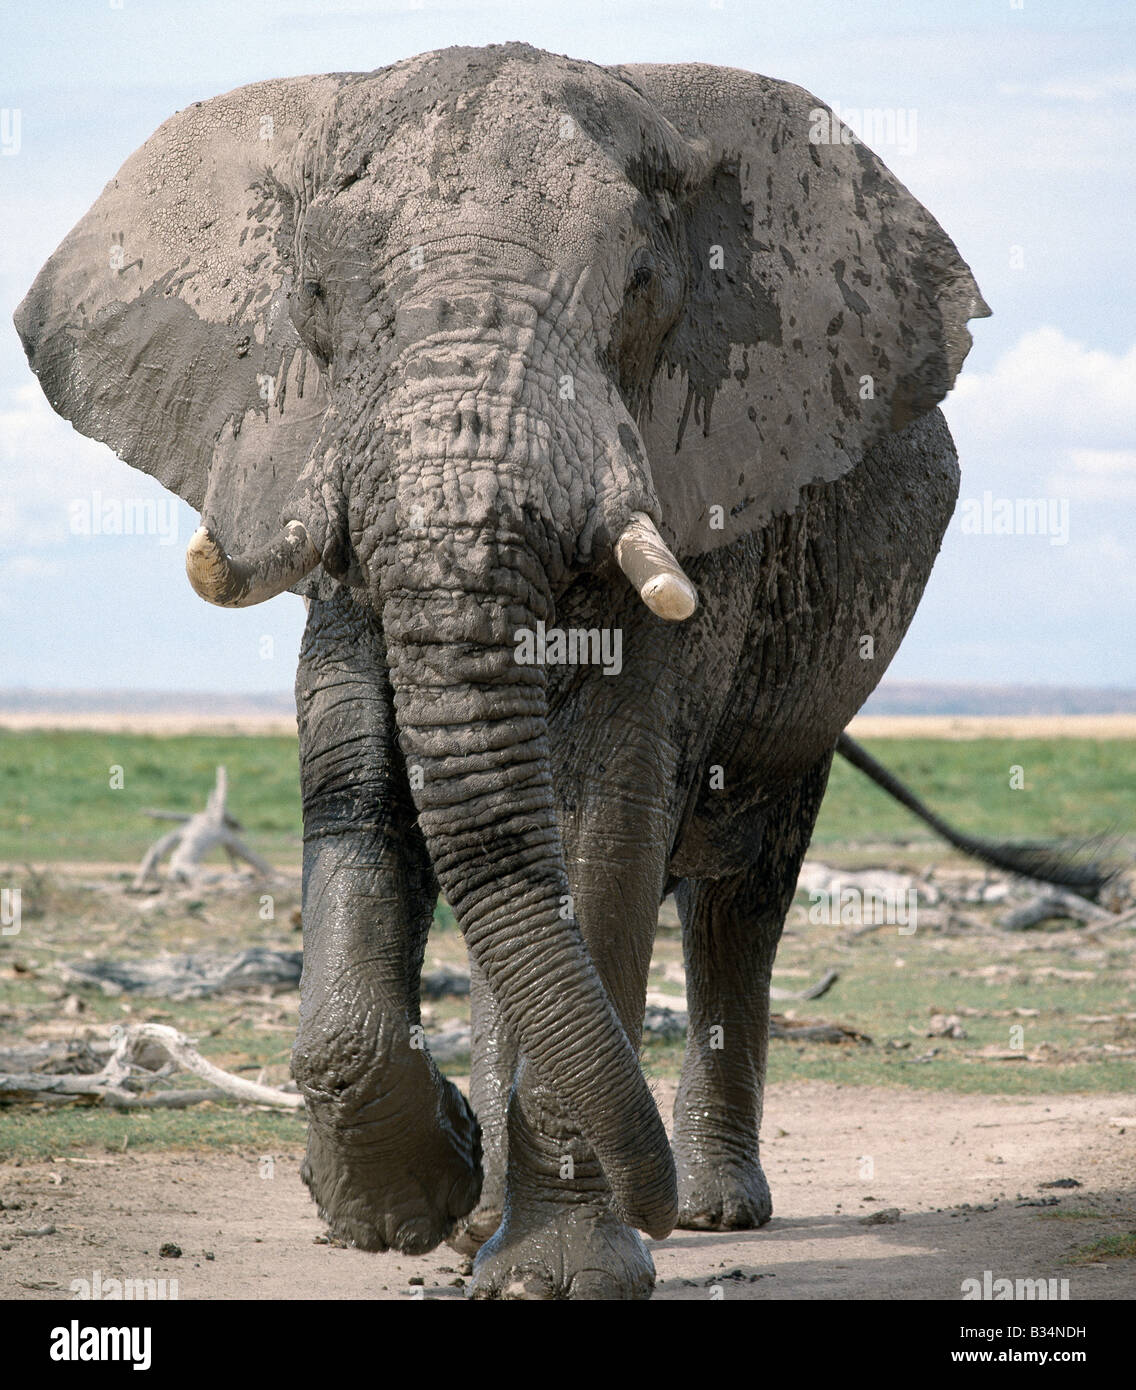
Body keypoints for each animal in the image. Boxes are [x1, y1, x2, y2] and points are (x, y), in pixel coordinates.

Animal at [17, 43, 1001, 1295]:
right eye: (317, 298)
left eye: (640, 288)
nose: (656, 1203)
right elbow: (358, 767)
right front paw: (409, 1204)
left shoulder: (695, 489)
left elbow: (597, 814)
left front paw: (555, 1271)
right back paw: (497, 1211)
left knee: (738, 889)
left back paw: (711, 1209)